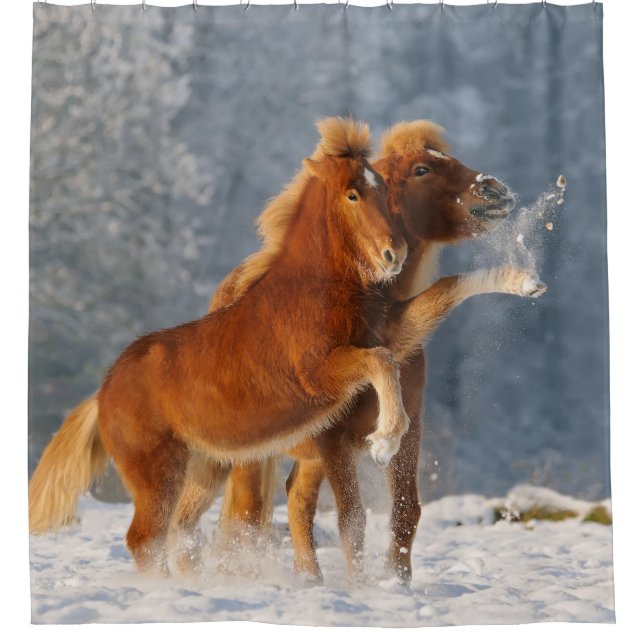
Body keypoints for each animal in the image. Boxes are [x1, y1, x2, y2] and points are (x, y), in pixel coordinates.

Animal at [28, 117, 411, 576]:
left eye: (383, 190)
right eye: (352, 193)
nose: (395, 253)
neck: (311, 293)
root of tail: (101, 396)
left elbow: (387, 360)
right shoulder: (319, 374)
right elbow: (381, 361)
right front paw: (386, 440)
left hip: (204, 469)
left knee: (178, 532)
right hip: (159, 473)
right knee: (145, 539)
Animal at [213, 121, 546, 584]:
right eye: (422, 169)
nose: (495, 189)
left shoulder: (411, 427)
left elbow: (406, 512)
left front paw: (397, 584)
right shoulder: (333, 438)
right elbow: (352, 519)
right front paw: (362, 589)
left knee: (296, 502)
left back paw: (311, 580)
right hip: (254, 455)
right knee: (245, 516)